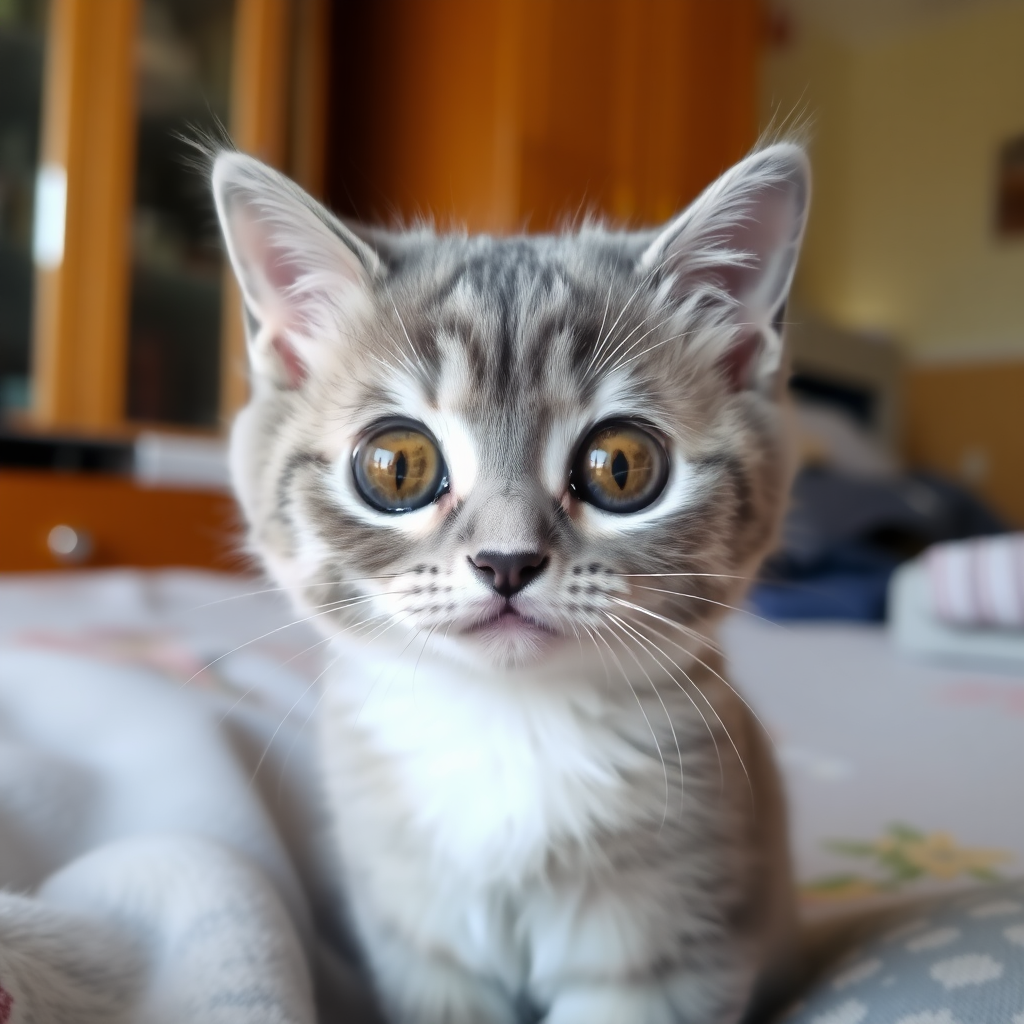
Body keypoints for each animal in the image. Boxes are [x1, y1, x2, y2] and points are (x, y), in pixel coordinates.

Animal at [214, 144, 806, 1024]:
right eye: (397, 465)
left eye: (621, 465)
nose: (506, 561)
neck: (508, 725)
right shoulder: (420, 943)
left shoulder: (664, 946)